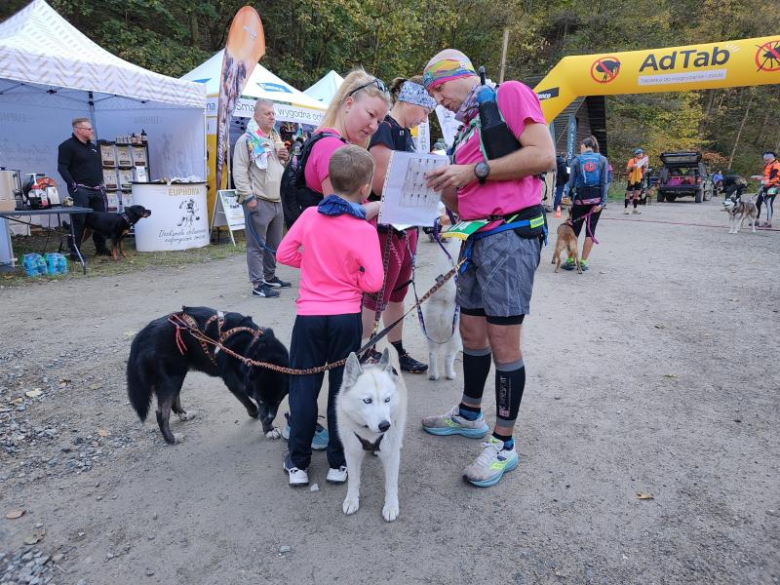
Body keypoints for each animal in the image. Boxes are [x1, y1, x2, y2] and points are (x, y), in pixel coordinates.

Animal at [127, 306, 290, 442]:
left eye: (278, 401)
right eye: (260, 400)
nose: (268, 421)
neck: (252, 346)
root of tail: (144, 334)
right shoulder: (234, 384)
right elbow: (251, 405)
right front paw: (266, 427)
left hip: (177, 375)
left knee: (173, 400)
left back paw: (183, 415)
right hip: (173, 377)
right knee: (161, 414)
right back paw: (171, 439)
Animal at [336, 346, 408, 520]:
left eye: (387, 400)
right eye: (367, 401)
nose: (385, 426)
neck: (368, 431)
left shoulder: (391, 456)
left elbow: (391, 483)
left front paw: (391, 506)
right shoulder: (352, 452)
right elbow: (353, 480)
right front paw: (352, 500)